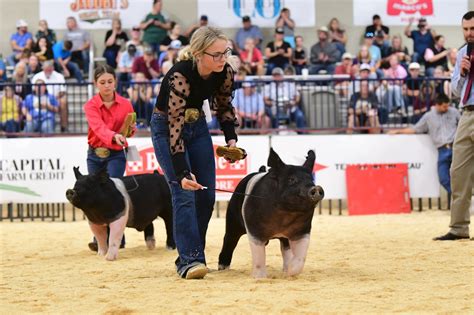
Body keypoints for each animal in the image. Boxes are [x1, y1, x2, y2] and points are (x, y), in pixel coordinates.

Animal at [219, 149, 324, 278]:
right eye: (291, 179)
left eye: (311, 180)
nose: (316, 188)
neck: (285, 215)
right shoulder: (254, 230)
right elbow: (259, 256)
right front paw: (259, 278)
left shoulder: (303, 231)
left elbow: (300, 258)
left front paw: (290, 272)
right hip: (232, 222)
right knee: (229, 241)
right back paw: (222, 269)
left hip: (284, 238)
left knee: (285, 248)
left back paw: (285, 269)